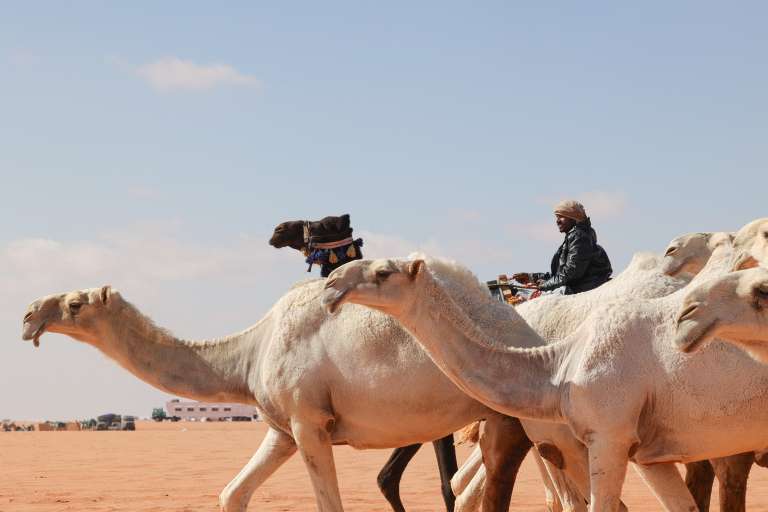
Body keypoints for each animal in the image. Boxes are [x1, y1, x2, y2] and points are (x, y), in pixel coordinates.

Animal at [22, 270, 539, 512]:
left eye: (74, 303)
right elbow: (232, 494)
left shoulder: (309, 422)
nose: (28, 314)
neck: (250, 353)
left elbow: (330, 505)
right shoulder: (282, 429)